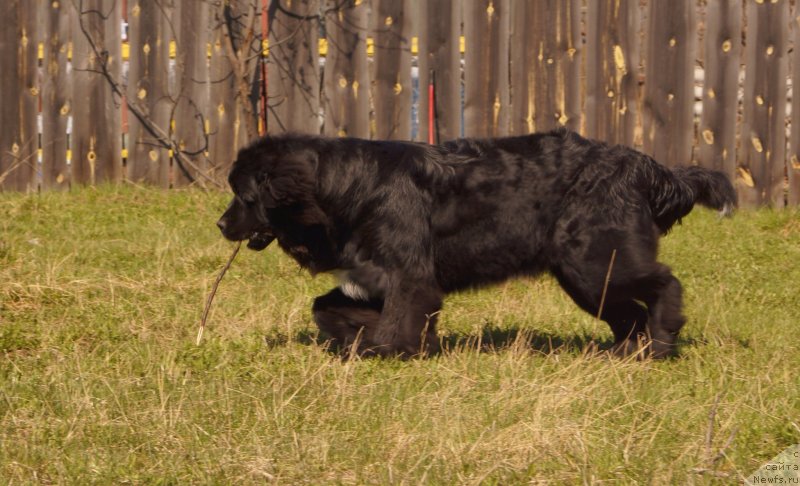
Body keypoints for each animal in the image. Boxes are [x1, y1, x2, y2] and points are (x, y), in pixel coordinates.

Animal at [216, 129, 736, 356]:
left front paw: (387, 351)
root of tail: (646, 166)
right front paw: (355, 340)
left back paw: (663, 341)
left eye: (243, 196)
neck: (346, 187)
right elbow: (326, 308)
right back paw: (630, 354)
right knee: (628, 314)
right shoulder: (369, 278)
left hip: (595, 260)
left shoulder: (409, 275)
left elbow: (397, 323)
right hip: (588, 276)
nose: (221, 225)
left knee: (664, 285)